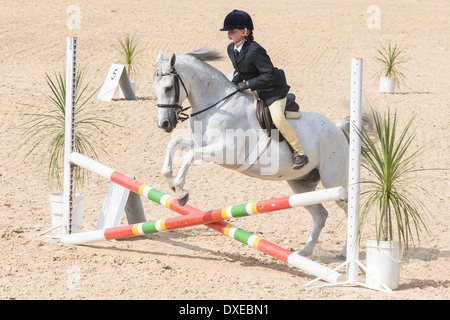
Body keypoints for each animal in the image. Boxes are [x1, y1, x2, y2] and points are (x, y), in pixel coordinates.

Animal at [151, 48, 376, 258]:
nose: (164, 124)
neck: (217, 105)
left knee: (350, 211)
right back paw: (304, 252)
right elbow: (174, 144)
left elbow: (189, 155)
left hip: (333, 184)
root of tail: (338, 130)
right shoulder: (200, 144)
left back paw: (345, 253)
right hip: (301, 186)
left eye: (169, 87)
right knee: (320, 214)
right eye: (155, 88)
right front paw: (171, 181)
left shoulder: (225, 152)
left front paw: (181, 192)